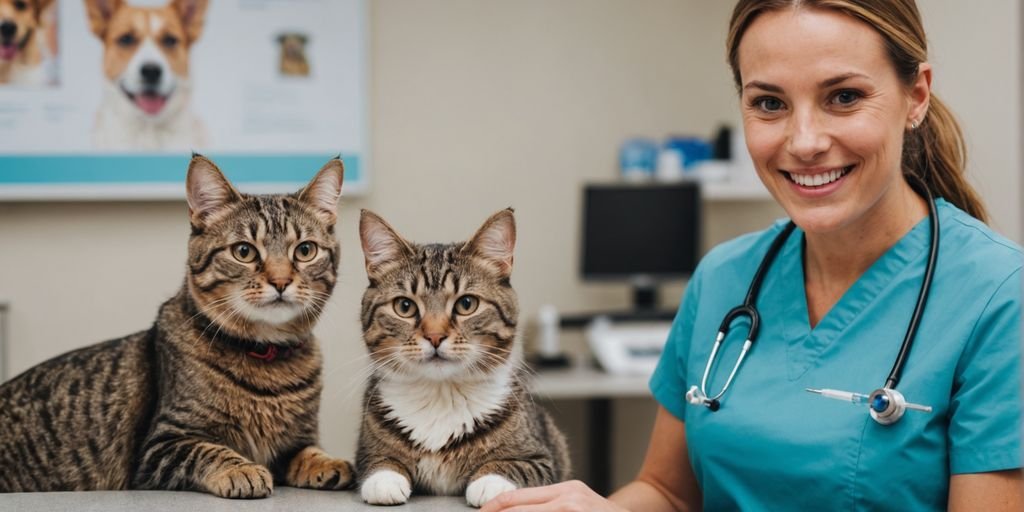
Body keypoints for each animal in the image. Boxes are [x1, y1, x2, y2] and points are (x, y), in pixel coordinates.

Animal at [0, 155, 356, 495]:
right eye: (244, 251)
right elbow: (208, 450)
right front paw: (242, 469)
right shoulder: (159, 445)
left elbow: (309, 451)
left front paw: (331, 463)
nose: (281, 281)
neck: (268, 364)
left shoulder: (295, 441)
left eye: (305, 250)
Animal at [356, 207, 573, 507]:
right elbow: (378, 460)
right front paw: (384, 479)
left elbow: (516, 465)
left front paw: (490, 482)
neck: (441, 395)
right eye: (404, 306)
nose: (435, 336)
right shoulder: (364, 452)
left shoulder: (543, 457)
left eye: (467, 304)